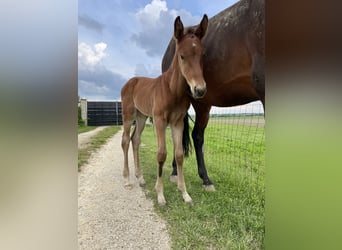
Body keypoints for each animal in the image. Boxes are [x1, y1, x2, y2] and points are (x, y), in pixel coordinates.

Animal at [122, 14, 208, 205]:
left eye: (202, 55)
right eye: (182, 56)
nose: (200, 90)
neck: (172, 90)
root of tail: (130, 81)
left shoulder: (177, 123)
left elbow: (179, 155)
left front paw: (185, 193)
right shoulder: (160, 120)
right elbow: (161, 154)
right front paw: (160, 195)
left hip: (141, 116)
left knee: (135, 140)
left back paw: (140, 178)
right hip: (128, 115)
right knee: (125, 141)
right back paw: (127, 180)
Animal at [162, 0, 266, 190]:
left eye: (204, 55)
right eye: (182, 56)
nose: (200, 88)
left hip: (203, 104)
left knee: (195, 135)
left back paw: (204, 179)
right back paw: (179, 173)